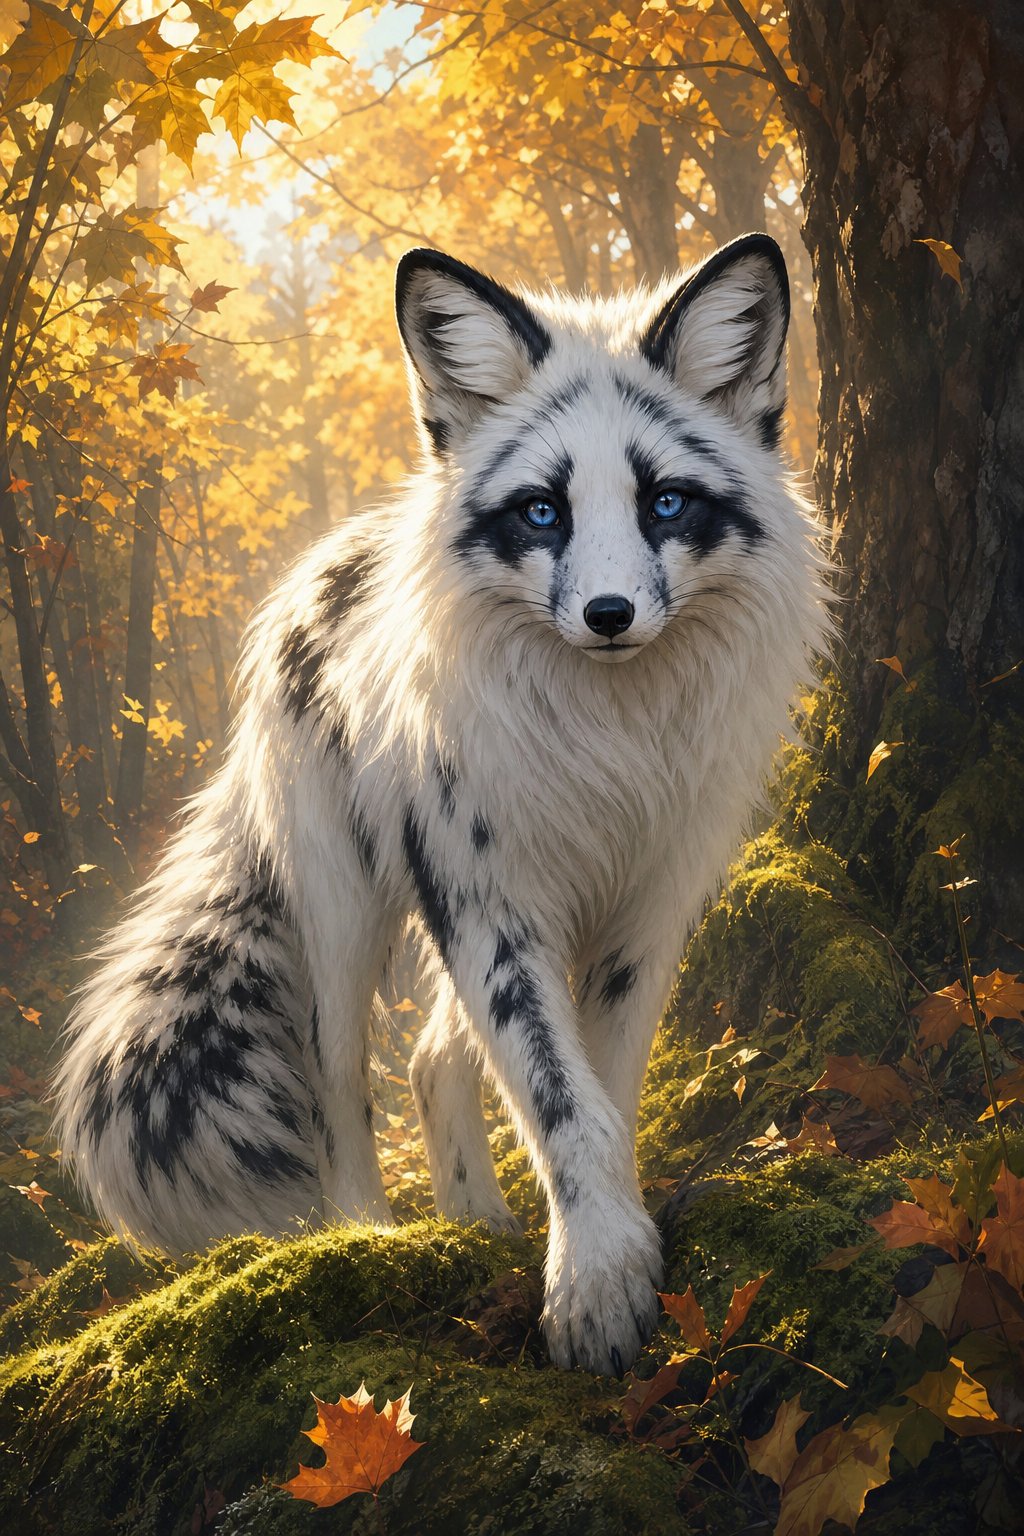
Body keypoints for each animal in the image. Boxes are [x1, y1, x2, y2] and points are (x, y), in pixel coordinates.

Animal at [54, 234, 827, 1376]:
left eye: (665, 504)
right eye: (543, 511)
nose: (608, 615)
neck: (609, 745)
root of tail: (332, 562)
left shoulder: (647, 911)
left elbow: (606, 1092)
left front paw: (607, 1247)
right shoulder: (487, 905)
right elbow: (560, 1103)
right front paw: (595, 1284)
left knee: (428, 1060)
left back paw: (474, 1220)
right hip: (348, 916)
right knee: (341, 1086)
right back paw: (369, 1238)